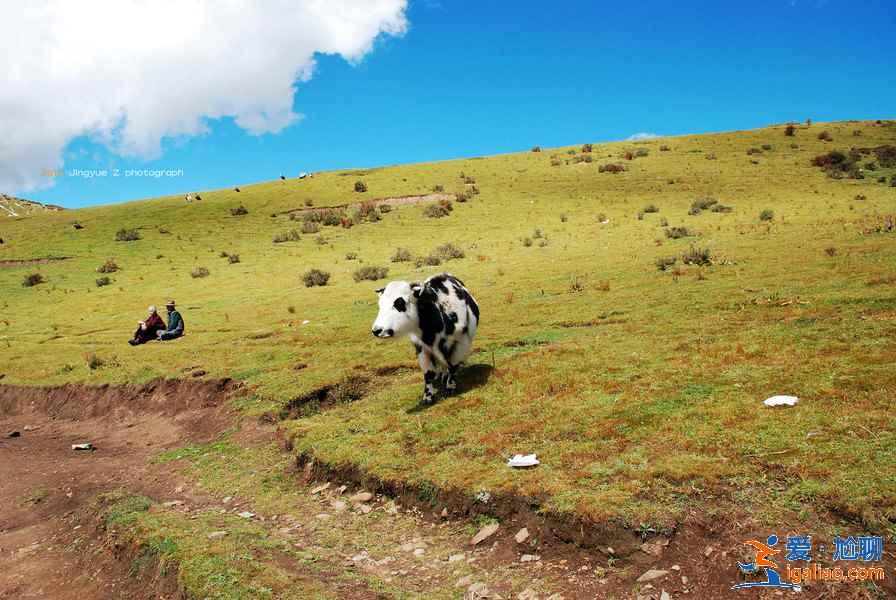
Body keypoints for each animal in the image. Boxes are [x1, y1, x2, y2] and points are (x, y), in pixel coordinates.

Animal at [372, 274, 480, 406]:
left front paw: (451, 387)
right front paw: (427, 397)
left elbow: (453, 366)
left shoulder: (460, 343)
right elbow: (429, 373)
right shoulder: (421, 348)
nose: (377, 330)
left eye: (399, 302)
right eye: (380, 304)